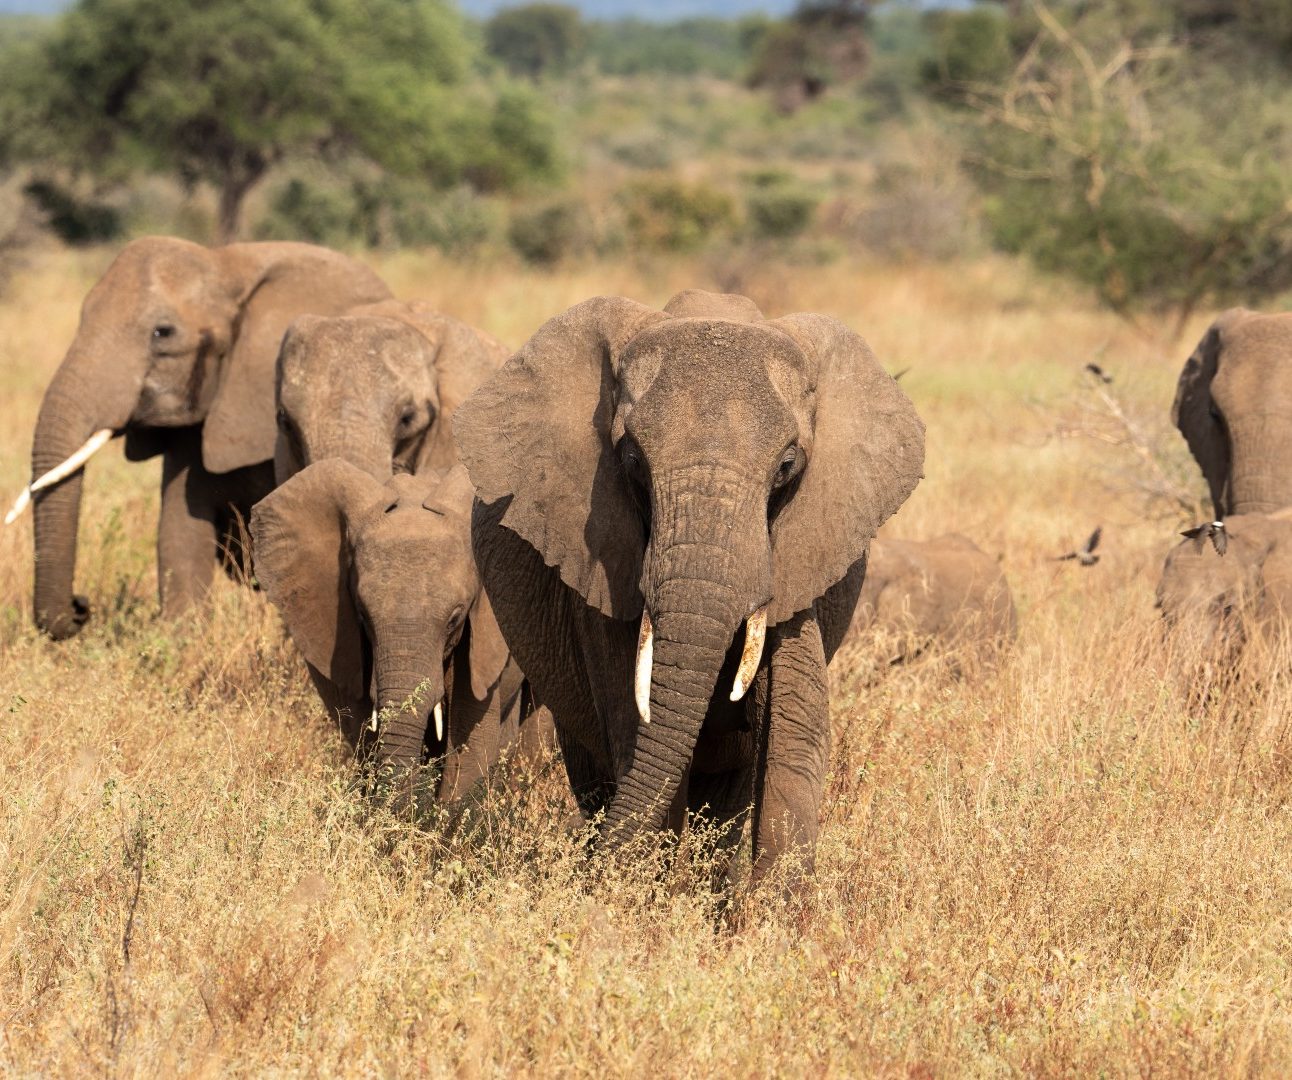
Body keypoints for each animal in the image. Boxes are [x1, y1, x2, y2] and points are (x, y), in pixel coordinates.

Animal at [454, 289, 930, 883]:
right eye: (632, 460)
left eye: (787, 465)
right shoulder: (603, 563)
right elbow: (633, 727)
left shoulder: (800, 558)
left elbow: (793, 732)